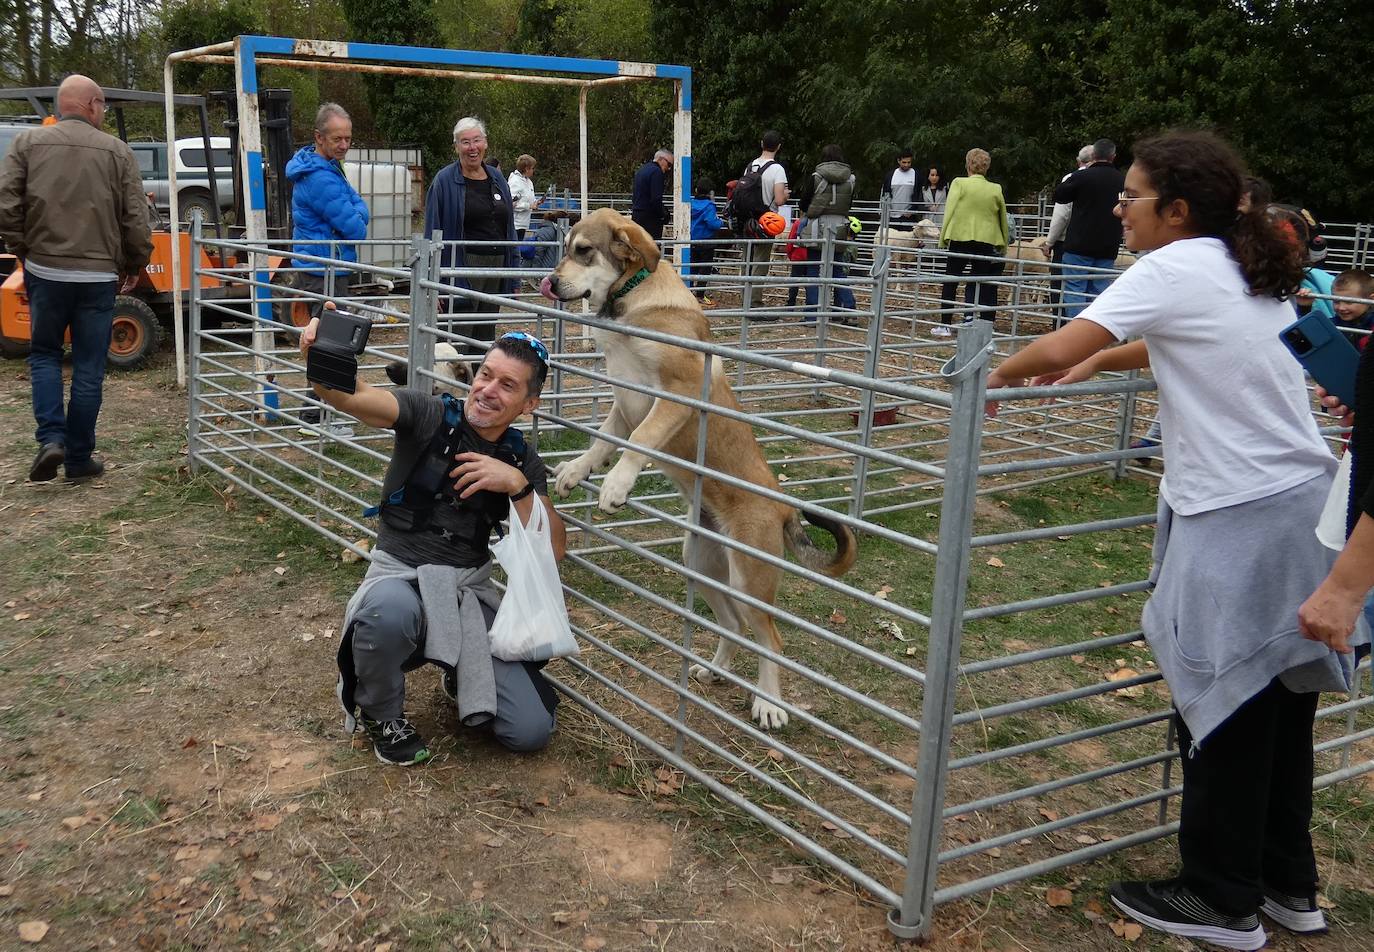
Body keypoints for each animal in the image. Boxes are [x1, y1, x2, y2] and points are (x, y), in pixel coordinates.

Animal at [538, 206, 851, 725]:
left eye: (583, 251)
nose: (548, 282)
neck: (634, 300)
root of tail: (783, 507)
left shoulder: (673, 397)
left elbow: (638, 442)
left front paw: (616, 486)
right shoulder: (623, 403)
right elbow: (603, 441)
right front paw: (577, 471)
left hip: (749, 577)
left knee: (772, 640)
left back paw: (769, 704)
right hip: (701, 564)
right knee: (733, 626)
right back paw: (715, 671)